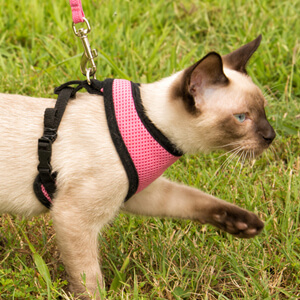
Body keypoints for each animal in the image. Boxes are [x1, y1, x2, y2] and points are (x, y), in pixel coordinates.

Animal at [0, 34, 276, 298]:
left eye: (263, 110)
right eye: (241, 118)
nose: (271, 136)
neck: (151, 126)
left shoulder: (141, 190)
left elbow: (193, 200)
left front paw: (244, 225)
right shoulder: (73, 215)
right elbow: (90, 282)